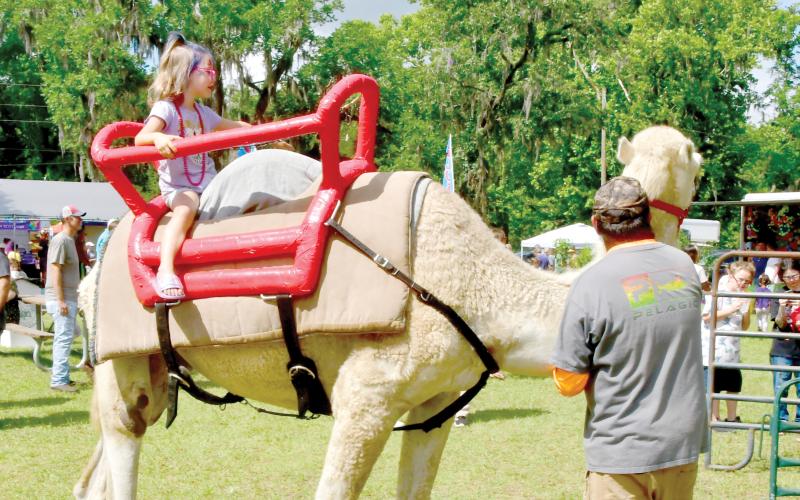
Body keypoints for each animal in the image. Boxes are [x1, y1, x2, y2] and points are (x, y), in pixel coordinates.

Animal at [74, 126, 701, 499]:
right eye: (696, 160)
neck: (476, 287)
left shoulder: (435, 404)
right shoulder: (367, 396)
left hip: (151, 377)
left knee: (98, 469)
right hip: (121, 369)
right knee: (123, 450)